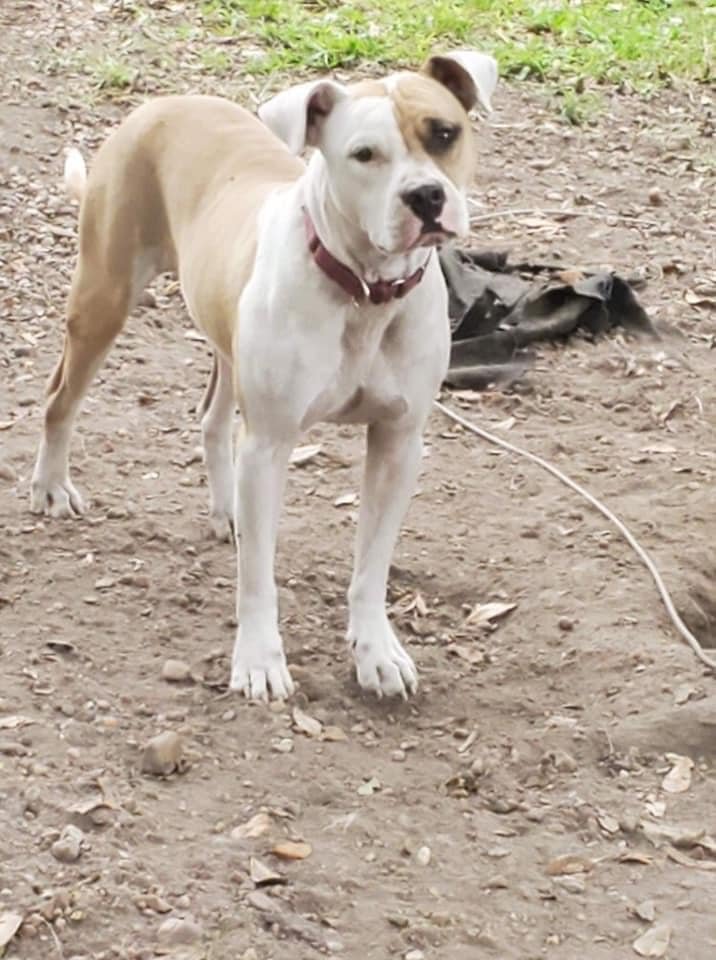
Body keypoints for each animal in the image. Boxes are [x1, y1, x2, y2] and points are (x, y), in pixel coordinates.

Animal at [29, 50, 498, 696]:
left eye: (444, 134)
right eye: (364, 154)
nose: (425, 195)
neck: (364, 292)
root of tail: (165, 103)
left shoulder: (398, 443)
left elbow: (371, 565)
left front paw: (376, 651)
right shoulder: (271, 444)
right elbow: (257, 574)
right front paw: (258, 660)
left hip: (224, 331)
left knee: (212, 418)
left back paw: (227, 509)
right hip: (104, 297)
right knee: (60, 400)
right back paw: (51, 486)